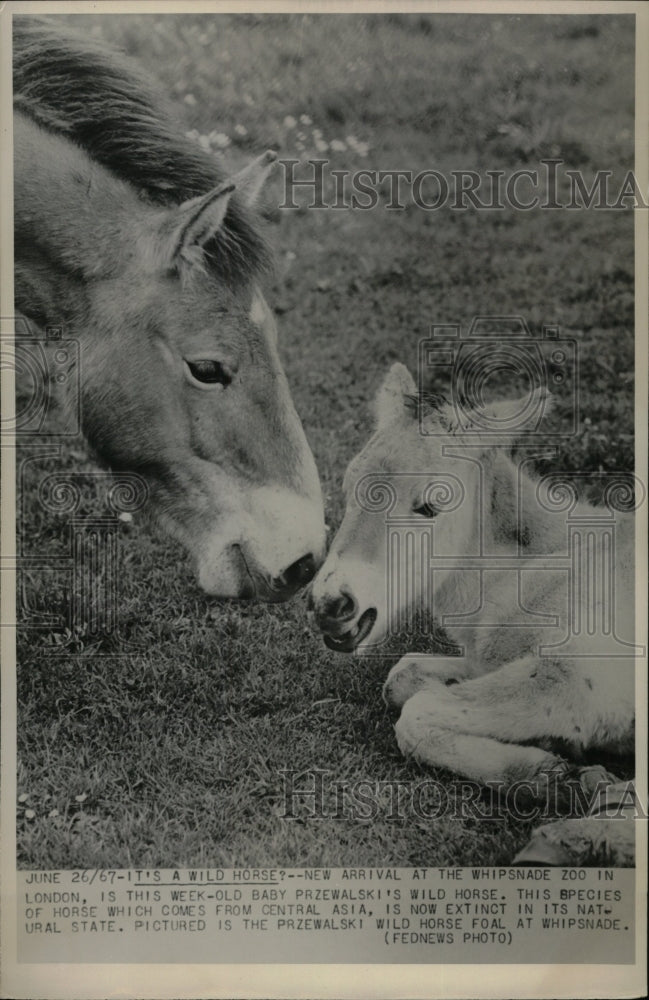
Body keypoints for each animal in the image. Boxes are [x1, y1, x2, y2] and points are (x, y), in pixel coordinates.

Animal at [312, 364, 636, 864]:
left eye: (430, 506)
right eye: (348, 491)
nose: (331, 605)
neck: (544, 566)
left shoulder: (578, 678)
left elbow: (416, 716)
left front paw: (555, 778)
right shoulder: (491, 660)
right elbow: (402, 678)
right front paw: (556, 755)